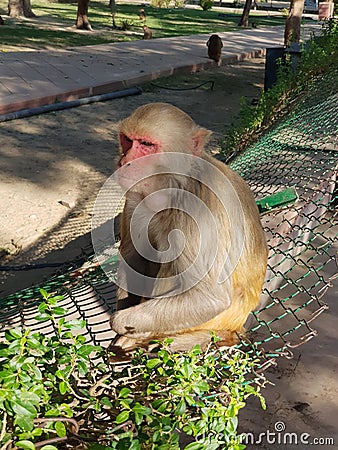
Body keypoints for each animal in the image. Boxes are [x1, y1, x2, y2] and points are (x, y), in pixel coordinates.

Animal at [109, 103, 268, 356]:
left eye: (146, 144)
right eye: (127, 140)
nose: (125, 162)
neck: (174, 183)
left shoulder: (199, 210)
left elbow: (209, 298)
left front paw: (122, 324)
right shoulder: (135, 194)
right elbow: (131, 254)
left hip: (218, 319)